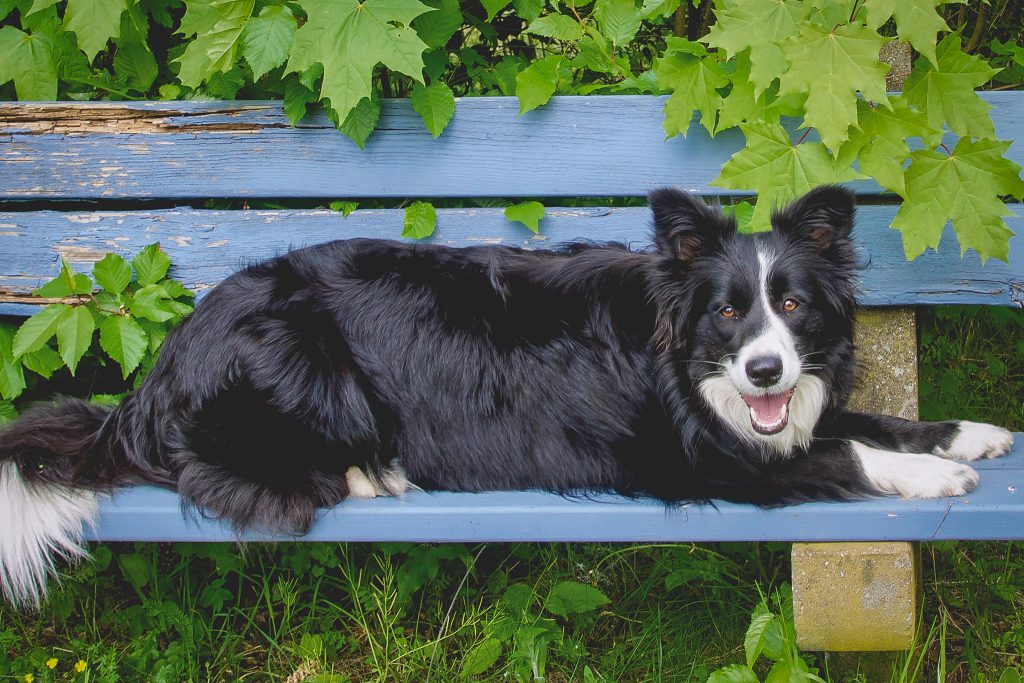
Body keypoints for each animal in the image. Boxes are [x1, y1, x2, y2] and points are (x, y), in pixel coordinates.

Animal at [0, 184, 1011, 606]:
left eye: (791, 304)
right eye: (728, 313)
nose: (764, 372)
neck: (679, 354)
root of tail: (156, 379)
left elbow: (866, 417)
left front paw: (970, 434)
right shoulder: (707, 457)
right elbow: (842, 446)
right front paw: (931, 479)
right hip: (302, 360)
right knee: (229, 471)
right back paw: (371, 475)